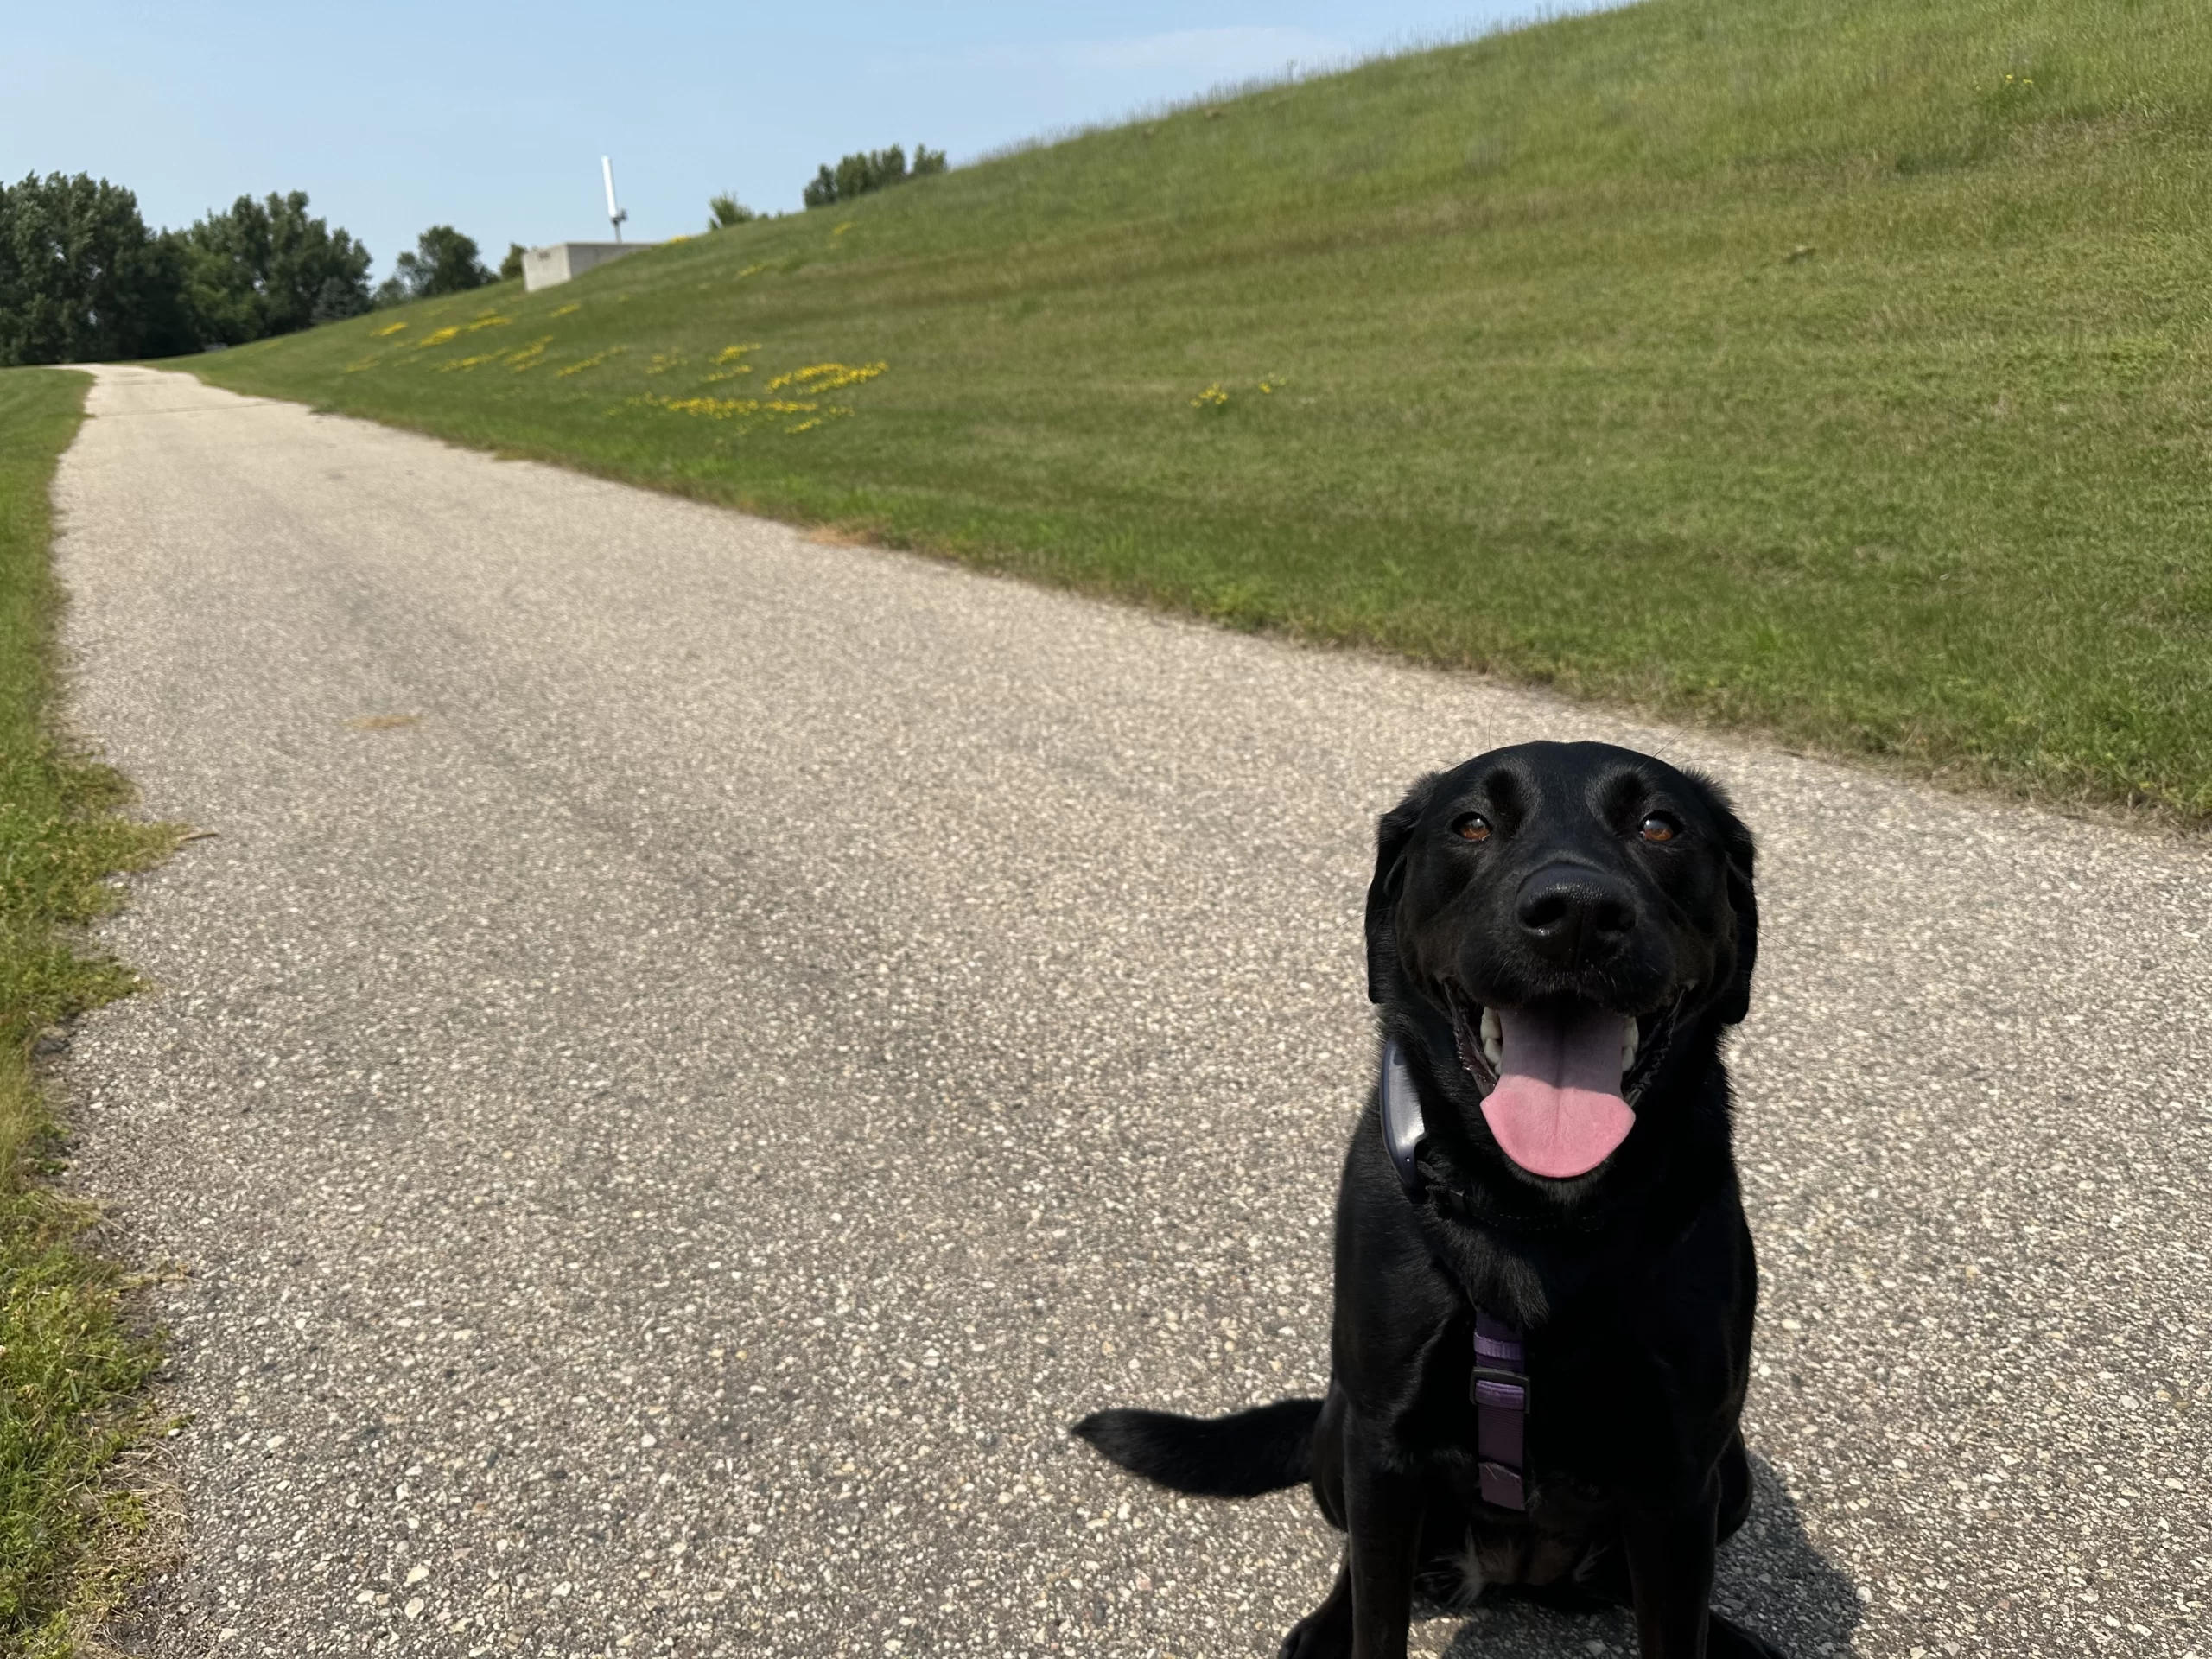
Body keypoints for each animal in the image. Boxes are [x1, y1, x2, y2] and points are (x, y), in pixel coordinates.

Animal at [1071, 743, 1778, 1659]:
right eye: (1471, 824)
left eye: (1660, 825)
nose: (1578, 914)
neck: (1533, 1219)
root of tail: (1520, 1573)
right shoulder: (1385, 1446)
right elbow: (1379, 1611)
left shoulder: (1679, 1474)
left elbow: (1676, 1624)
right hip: (1342, 1439)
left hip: (1732, 1478)